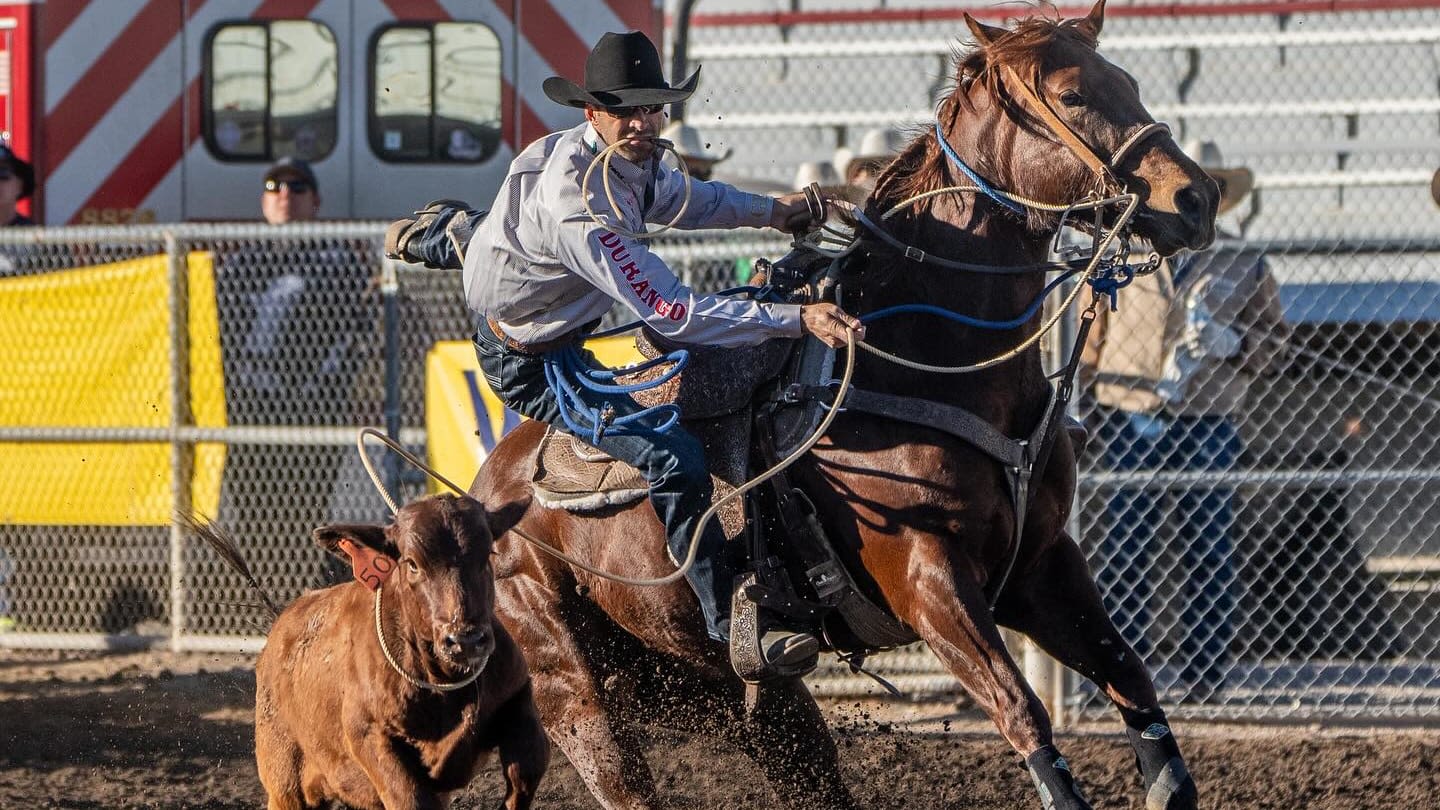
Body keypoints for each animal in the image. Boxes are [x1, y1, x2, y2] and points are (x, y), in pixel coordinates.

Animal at [253, 492, 544, 807]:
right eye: (412, 563)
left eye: (487, 554)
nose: (465, 639)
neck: (442, 683)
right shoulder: (371, 736)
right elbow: (411, 798)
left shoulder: (517, 692)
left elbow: (527, 768)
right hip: (285, 785)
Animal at [472, 3, 1215, 801]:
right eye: (1073, 96)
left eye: (1128, 82)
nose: (1195, 197)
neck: (925, 361)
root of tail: (481, 488)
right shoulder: (927, 577)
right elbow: (1022, 710)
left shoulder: (1042, 565)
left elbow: (1132, 680)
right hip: (574, 689)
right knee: (621, 775)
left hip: (724, 691)